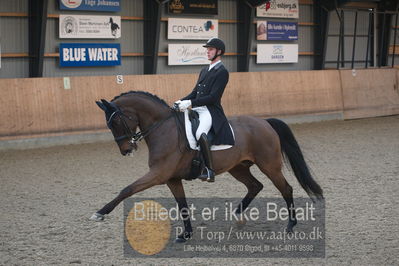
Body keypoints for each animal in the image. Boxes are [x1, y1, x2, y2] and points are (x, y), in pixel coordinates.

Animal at [92, 90, 324, 242]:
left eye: (115, 122)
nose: (126, 150)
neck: (163, 129)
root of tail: (265, 122)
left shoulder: (158, 174)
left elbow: (127, 189)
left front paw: (100, 212)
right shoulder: (171, 179)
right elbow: (183, 205)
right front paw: (186, 234)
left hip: (269, 165)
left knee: (286, 188)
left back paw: (290, 225)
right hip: (237, 167)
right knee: (255, 186)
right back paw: (237, 216)